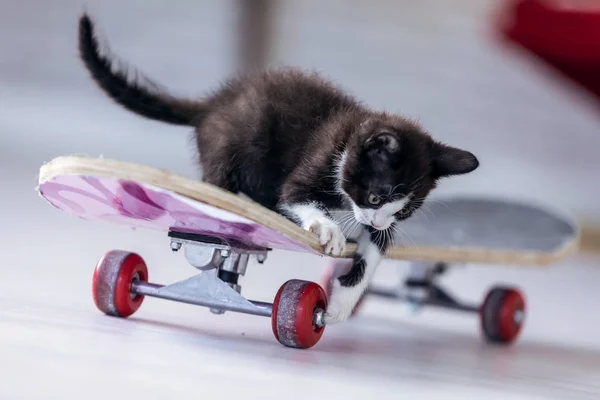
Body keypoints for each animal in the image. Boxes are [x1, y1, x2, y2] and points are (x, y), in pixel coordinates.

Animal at [77, 14, 478, 324]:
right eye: (377, 196)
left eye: (404, 211)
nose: (376, 223)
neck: (348, 138)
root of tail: (214, 104)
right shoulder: (315, 162)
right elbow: (297, 195)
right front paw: (328, 229)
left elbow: (373, 255)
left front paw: (339, 306)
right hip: (236, 140)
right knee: (222, 180)